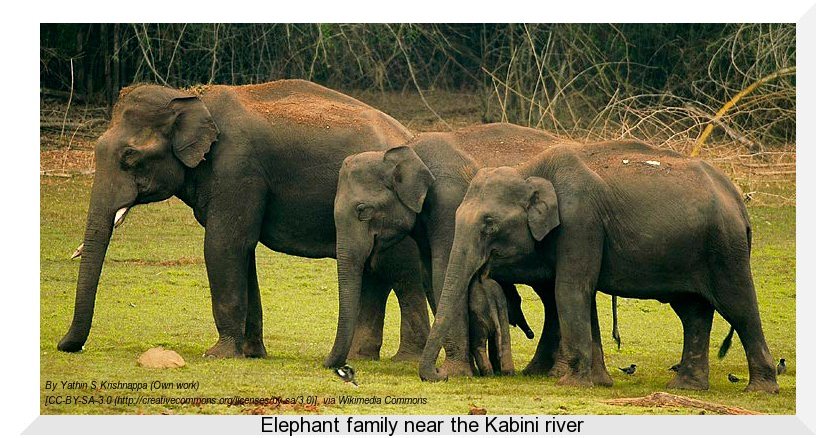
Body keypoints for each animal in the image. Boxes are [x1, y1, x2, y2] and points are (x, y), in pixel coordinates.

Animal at [57, 79, 434, 363]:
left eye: (130, 157)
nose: (66, 346)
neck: (192, 98)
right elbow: (243, 250)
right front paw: (252, 353)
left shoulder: (237, 168)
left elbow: (224, 245)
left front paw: (218, 355)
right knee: (374, 272)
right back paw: (360, 357)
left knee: (399, 272)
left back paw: (405, 359)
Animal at [329, 123, 614, 380]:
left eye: (362, 210)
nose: (340, 367)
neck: (410, 149)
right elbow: (432, 277)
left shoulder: (449, 204)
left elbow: (443, 274)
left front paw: (453, 373)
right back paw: (538, 371)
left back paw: (555, 373)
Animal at [420, 140, 779, 393]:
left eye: (489, 224)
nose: (440, 376)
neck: (530, 170)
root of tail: (738, 199)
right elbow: (584, 296)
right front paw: (599, 382)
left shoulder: (581, 222)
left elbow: (570, 291)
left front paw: (573, 384)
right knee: (693, 312)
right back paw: (686, 387)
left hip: (725, 248)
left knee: (739, 306)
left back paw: (761, 389)